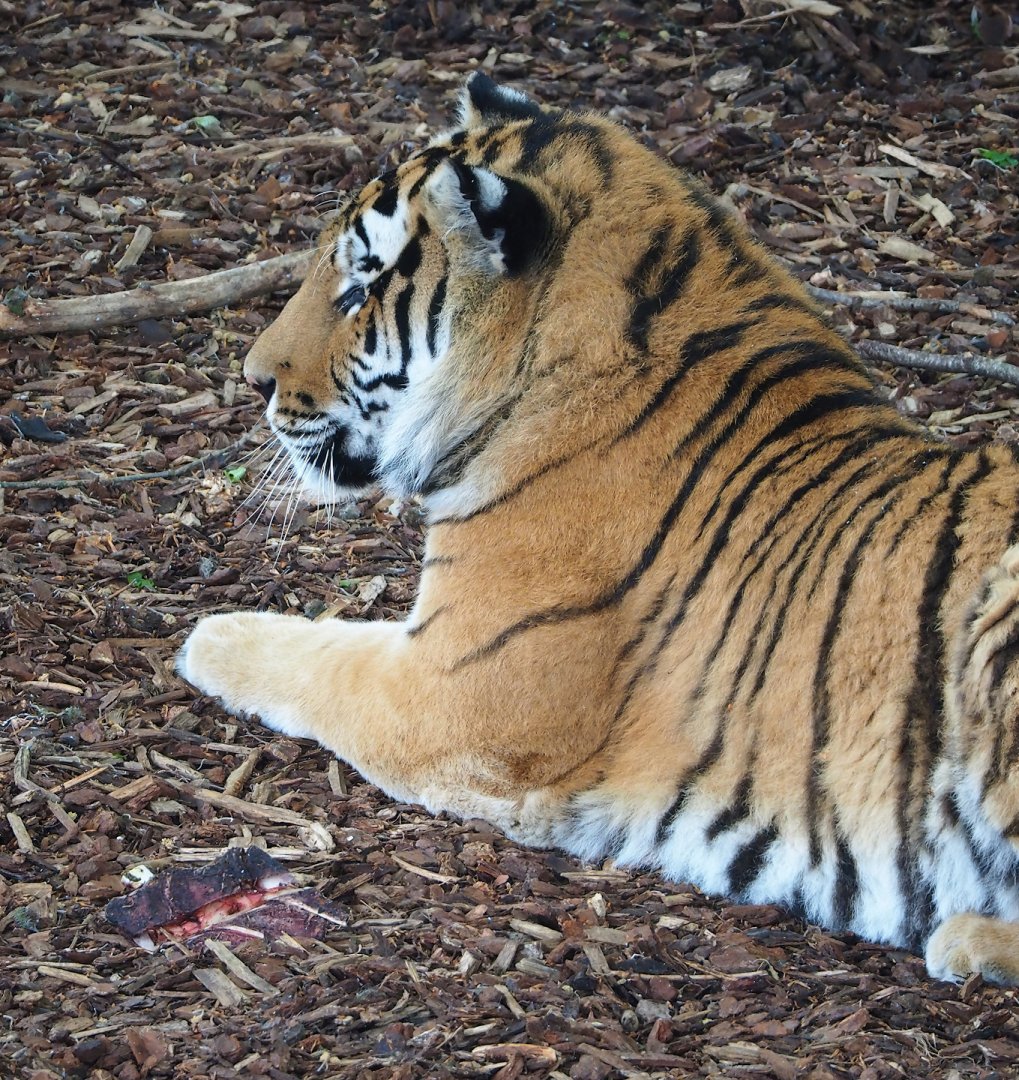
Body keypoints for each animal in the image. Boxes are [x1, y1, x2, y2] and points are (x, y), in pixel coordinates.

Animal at [179, 73, 1019, 984]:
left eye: (361, 287)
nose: (253, 379)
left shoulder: (454, 693)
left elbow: (318, 658)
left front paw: (210, 636)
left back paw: (966, 938)